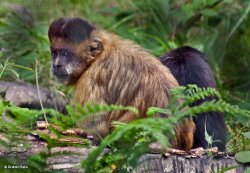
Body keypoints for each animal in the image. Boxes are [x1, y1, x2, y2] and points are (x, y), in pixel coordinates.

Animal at [47, 17, 195, 150]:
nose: (55, 65)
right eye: (54, 53)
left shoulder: (92, 77)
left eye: (65, 54)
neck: (98, 56)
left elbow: (98, 127)